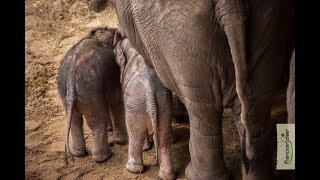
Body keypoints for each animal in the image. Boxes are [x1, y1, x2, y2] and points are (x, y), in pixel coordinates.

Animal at [57, 27, 127, 164]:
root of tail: (72, 72)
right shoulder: (114, 73)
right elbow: (116, 101)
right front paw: (121, 141)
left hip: (69, 89)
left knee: (75, 120)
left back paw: (78, 154)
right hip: (89, 89)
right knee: (96, 121)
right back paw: (105, 157)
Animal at [114, 38, 176, 180]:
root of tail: (149, 90)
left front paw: (145, 148)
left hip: (135, 103)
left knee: (134, 131)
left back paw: (132, 169)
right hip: (163, 102)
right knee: (163, 134)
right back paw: (166, 176)